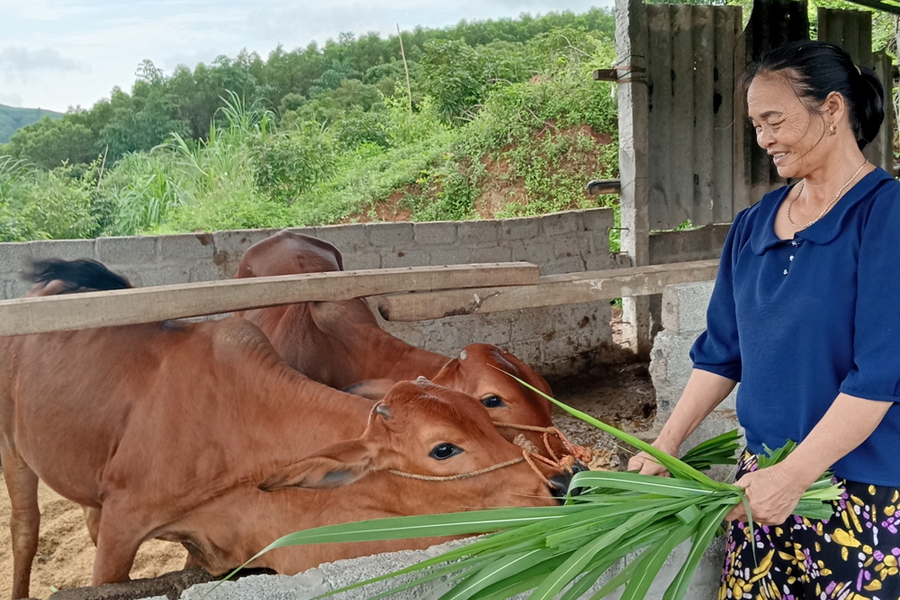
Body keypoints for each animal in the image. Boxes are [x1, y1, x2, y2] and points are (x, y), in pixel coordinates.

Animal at [0, 262, 568, 600]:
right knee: (26, 529)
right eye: (444, 448)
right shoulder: (124, 524)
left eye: (482, 411)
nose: (561, 480)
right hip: (13, 450)